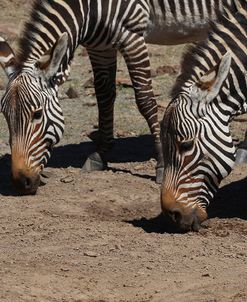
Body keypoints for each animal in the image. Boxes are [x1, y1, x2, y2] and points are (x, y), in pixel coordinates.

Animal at [0, 0, 232, 193]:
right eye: (5, 116)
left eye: (37, 114)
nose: (21, 182)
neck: (86, 9)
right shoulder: (100, 47)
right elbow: (104, 96)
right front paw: (101, 154)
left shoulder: (132, 36)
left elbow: (144, 99)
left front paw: (161, 163)